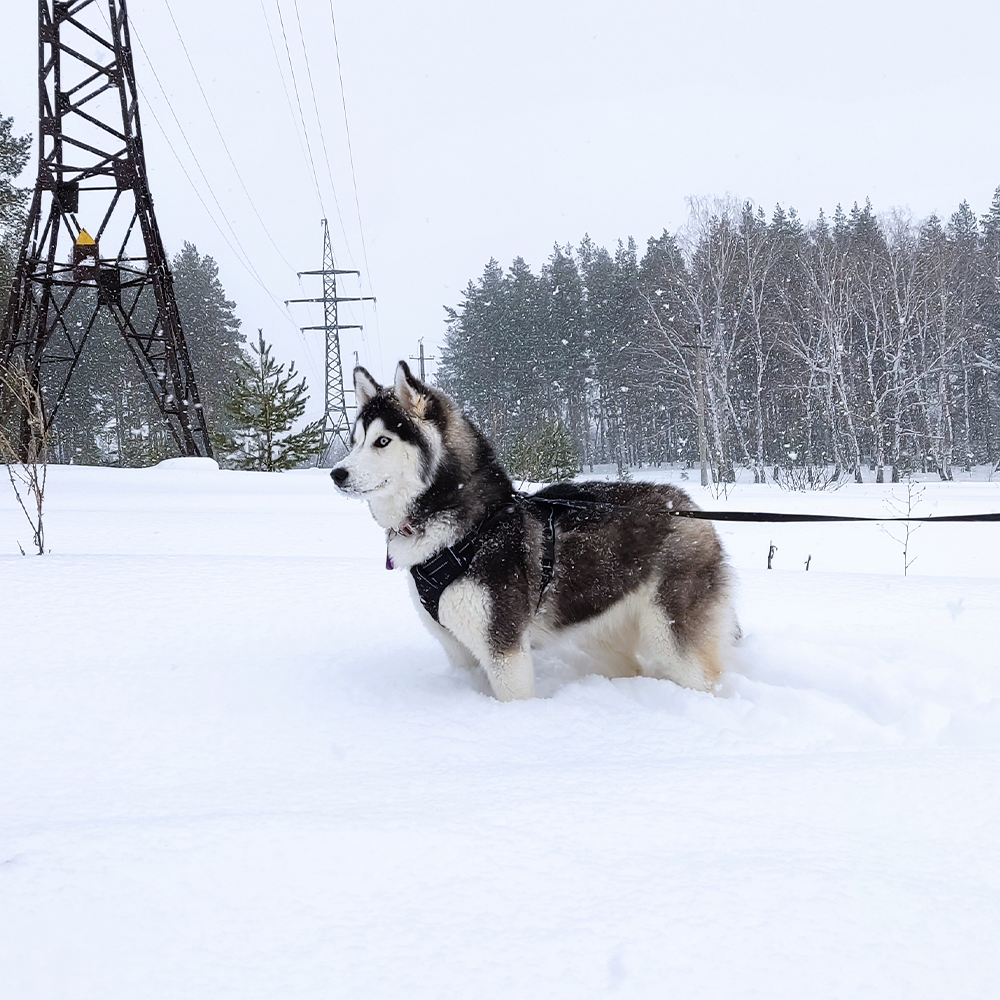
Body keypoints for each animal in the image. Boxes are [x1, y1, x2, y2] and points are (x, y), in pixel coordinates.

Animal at [334, 362, 736, 704]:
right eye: (354, 441)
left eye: (382, 441)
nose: (337, 473)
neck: (465, 531)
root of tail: (689, 505)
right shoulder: (459, 650)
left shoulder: (504, 648)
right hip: (600, 628)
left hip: (671, 639)